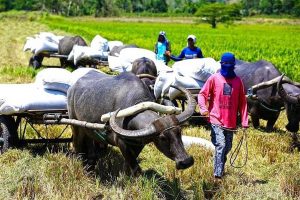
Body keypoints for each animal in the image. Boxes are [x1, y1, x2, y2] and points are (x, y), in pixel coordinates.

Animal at [67, 70, 196, 175]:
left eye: (179, 132)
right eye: (162, 138)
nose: (186, 161)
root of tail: (72, 88)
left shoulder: (139, 143)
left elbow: (128, 164)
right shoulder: (121, 142)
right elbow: (135, 167)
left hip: (88, 130)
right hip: (75, 125)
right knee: (77, 144)